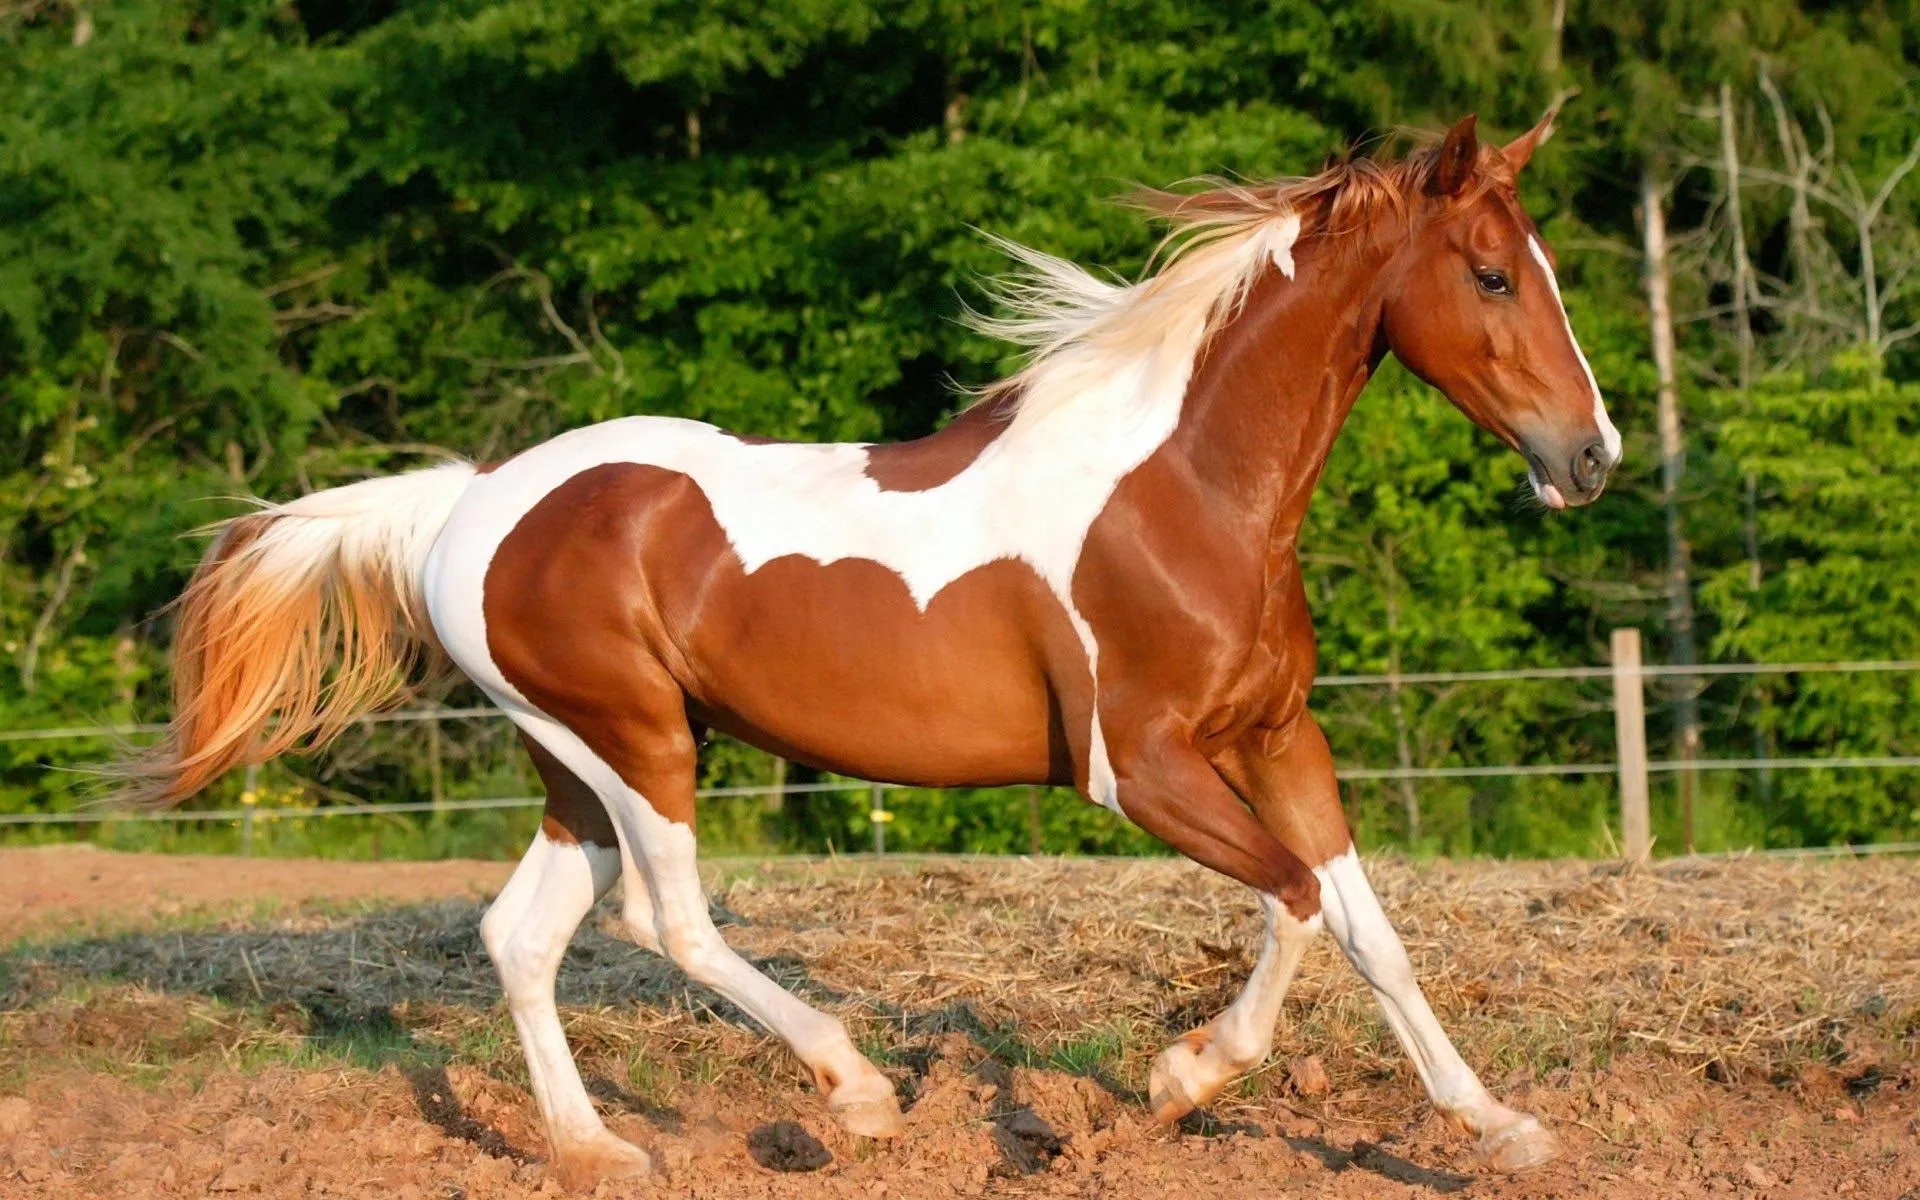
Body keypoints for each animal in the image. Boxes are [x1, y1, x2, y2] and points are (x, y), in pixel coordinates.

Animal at [123, 109, 1620, 1182]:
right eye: (1493, 273)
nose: (1590, 457)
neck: (1183, 492)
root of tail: (468, 500)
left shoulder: (1275, 738)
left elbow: (1370, 931)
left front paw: (1499, 1129)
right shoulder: (1138, 766)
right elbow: (1297, 901)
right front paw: (1183, 1073)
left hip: (577, 764)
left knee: (522, 935)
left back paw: (598, 1148)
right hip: (637, 743)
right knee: (667, 920)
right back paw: (857, 1094)